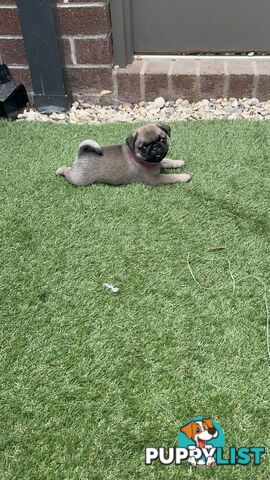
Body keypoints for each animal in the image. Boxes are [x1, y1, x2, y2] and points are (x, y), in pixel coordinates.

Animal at [56, 124, 192, 186]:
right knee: (68, 172)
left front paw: (178, 162)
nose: (155, 147)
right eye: (143, 147)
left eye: (162, 139)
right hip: (78, 180)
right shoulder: (155, 179)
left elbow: (166, 160)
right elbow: (171, 177)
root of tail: (82, 155)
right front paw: (184, 176)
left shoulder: (158, 161)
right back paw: (60, 170)